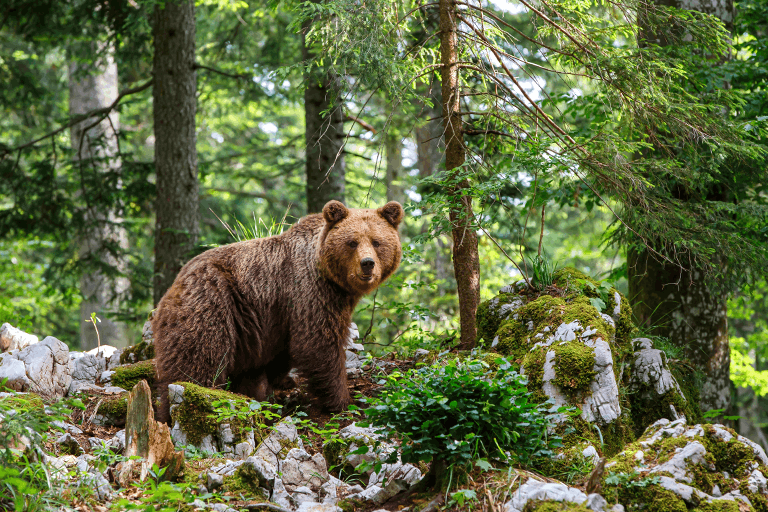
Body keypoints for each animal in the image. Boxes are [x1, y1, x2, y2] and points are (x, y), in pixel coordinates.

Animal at [152, 200, 404, 424]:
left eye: (377, 242)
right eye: (352, 242)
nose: (367, 263)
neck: (333, 281)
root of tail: (173, 286)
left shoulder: (282, 315)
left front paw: (280, 385)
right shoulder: (309, 292)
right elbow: (318, 345)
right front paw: (343, 401)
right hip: (211, 302)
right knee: (198, 361)